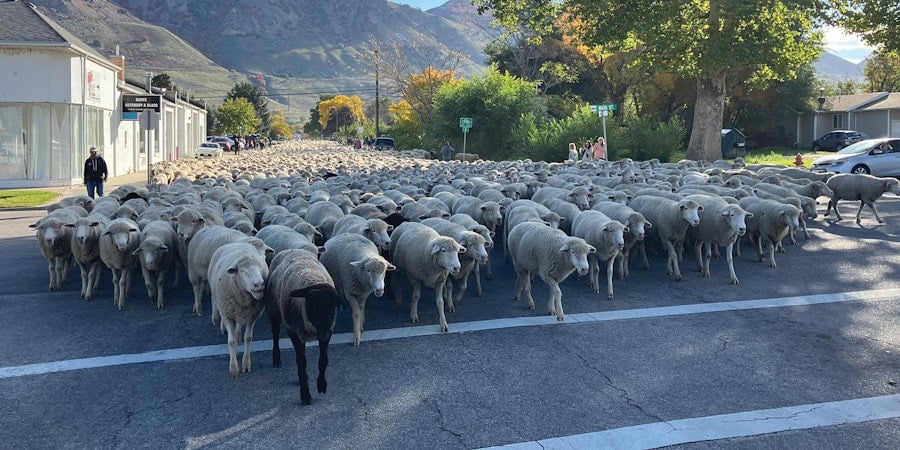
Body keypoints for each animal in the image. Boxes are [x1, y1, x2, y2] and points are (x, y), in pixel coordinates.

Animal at [208, 242, 269, 379]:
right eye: (243, 271)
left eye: (261, 269)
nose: (259, 285)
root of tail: (236, 242)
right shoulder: (228, 315)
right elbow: (231, 342)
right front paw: (234, 368)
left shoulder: (252, 316)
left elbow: (248, 338)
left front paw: (246, 364)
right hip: (218, 299)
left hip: (240, 313)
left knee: (239, 325)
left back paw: (238, 336)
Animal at [265, 249, 340, 404]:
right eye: (313, 306)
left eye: (333, 307)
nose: (322, 334)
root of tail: (291, 249)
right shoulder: (293, 331)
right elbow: (301, 362)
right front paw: (305, 395)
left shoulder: (329, 330)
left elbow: (323, 360)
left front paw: (321, 385)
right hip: (273, 311)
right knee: (275, 333)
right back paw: (276, 359)